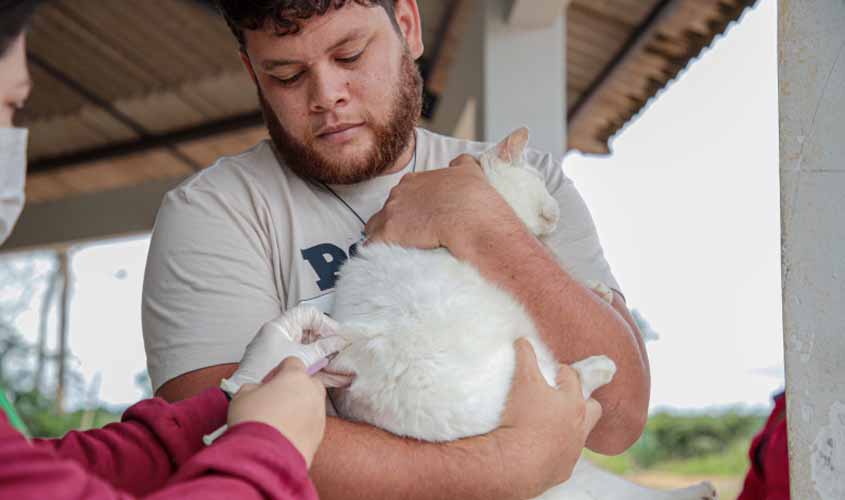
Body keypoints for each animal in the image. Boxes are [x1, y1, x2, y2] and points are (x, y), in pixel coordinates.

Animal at [320, 130, 716, 500]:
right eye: (538, 179)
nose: (556, 211)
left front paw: (598, 289)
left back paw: (701, 489)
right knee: (568, 380)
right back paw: (601, 367)